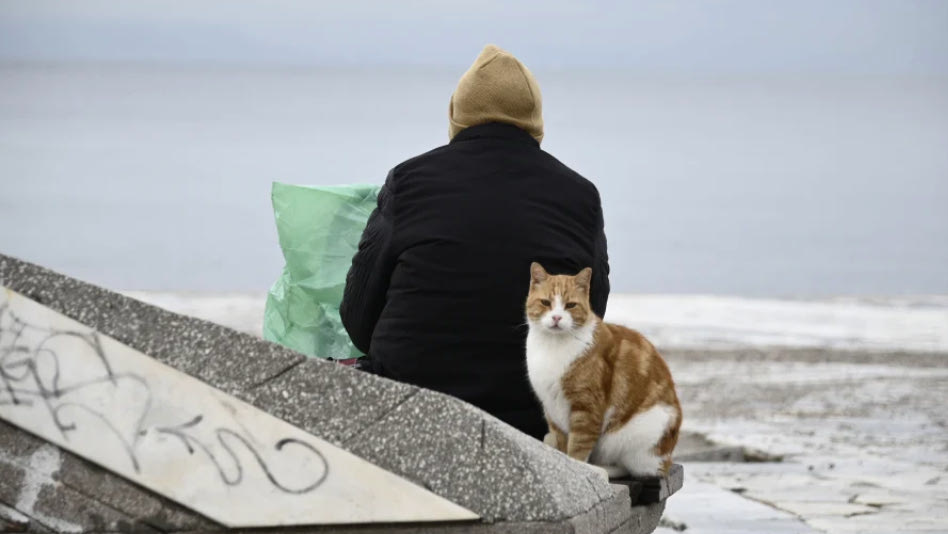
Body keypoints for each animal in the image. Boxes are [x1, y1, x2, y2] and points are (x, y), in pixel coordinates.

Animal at [524, 264, 680, 478]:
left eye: (570, 305)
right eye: (546, 302)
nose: (556, 317)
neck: (552, 346)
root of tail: (667, 459)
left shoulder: (587, 409)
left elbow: (578, 447)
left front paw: (578, 468)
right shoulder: (552, 409)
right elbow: (561, 443)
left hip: (636, 434)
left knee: (633, 468)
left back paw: (601, 469)